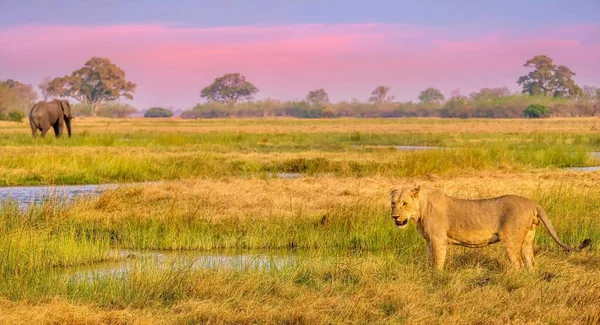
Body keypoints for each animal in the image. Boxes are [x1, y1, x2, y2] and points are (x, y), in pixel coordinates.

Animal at [390, 185, 592, 268]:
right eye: (393, 203)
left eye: (405, 204)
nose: (394, 217)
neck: (421, 210)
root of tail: (532, 202)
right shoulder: (428, 241)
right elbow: (429, 261)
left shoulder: (438, 239)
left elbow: (438, 262)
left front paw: (437, 279)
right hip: (528, 239)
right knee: (530, 262)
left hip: (510, 240)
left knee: (518, 264)